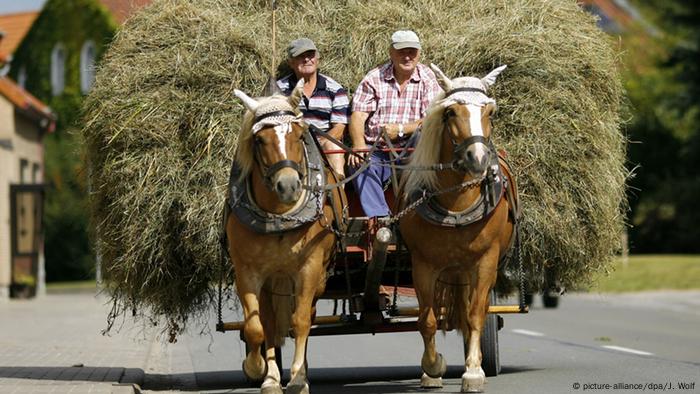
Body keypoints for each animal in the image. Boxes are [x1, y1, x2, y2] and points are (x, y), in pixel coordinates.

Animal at [226, 81, 344, 394]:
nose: (289, 186)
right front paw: (260, 371)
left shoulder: (309, 268)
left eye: (299, 135)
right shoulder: (248, 272)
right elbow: (255, 327)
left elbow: (300, 321)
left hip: (317, 277)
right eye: (259, 140)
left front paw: (298, 378)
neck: (280, 216)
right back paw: (271, 374)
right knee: (268, 321)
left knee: (307, 316)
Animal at [400, 63, 516, 392]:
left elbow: (476, 315)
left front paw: (473, 372)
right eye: (451, 112)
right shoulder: (422, 264)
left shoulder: (484, 261)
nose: (477, 159)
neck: (456, 204)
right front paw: (432, 367)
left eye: (490, 111)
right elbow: (426, 320)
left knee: (471, 311)